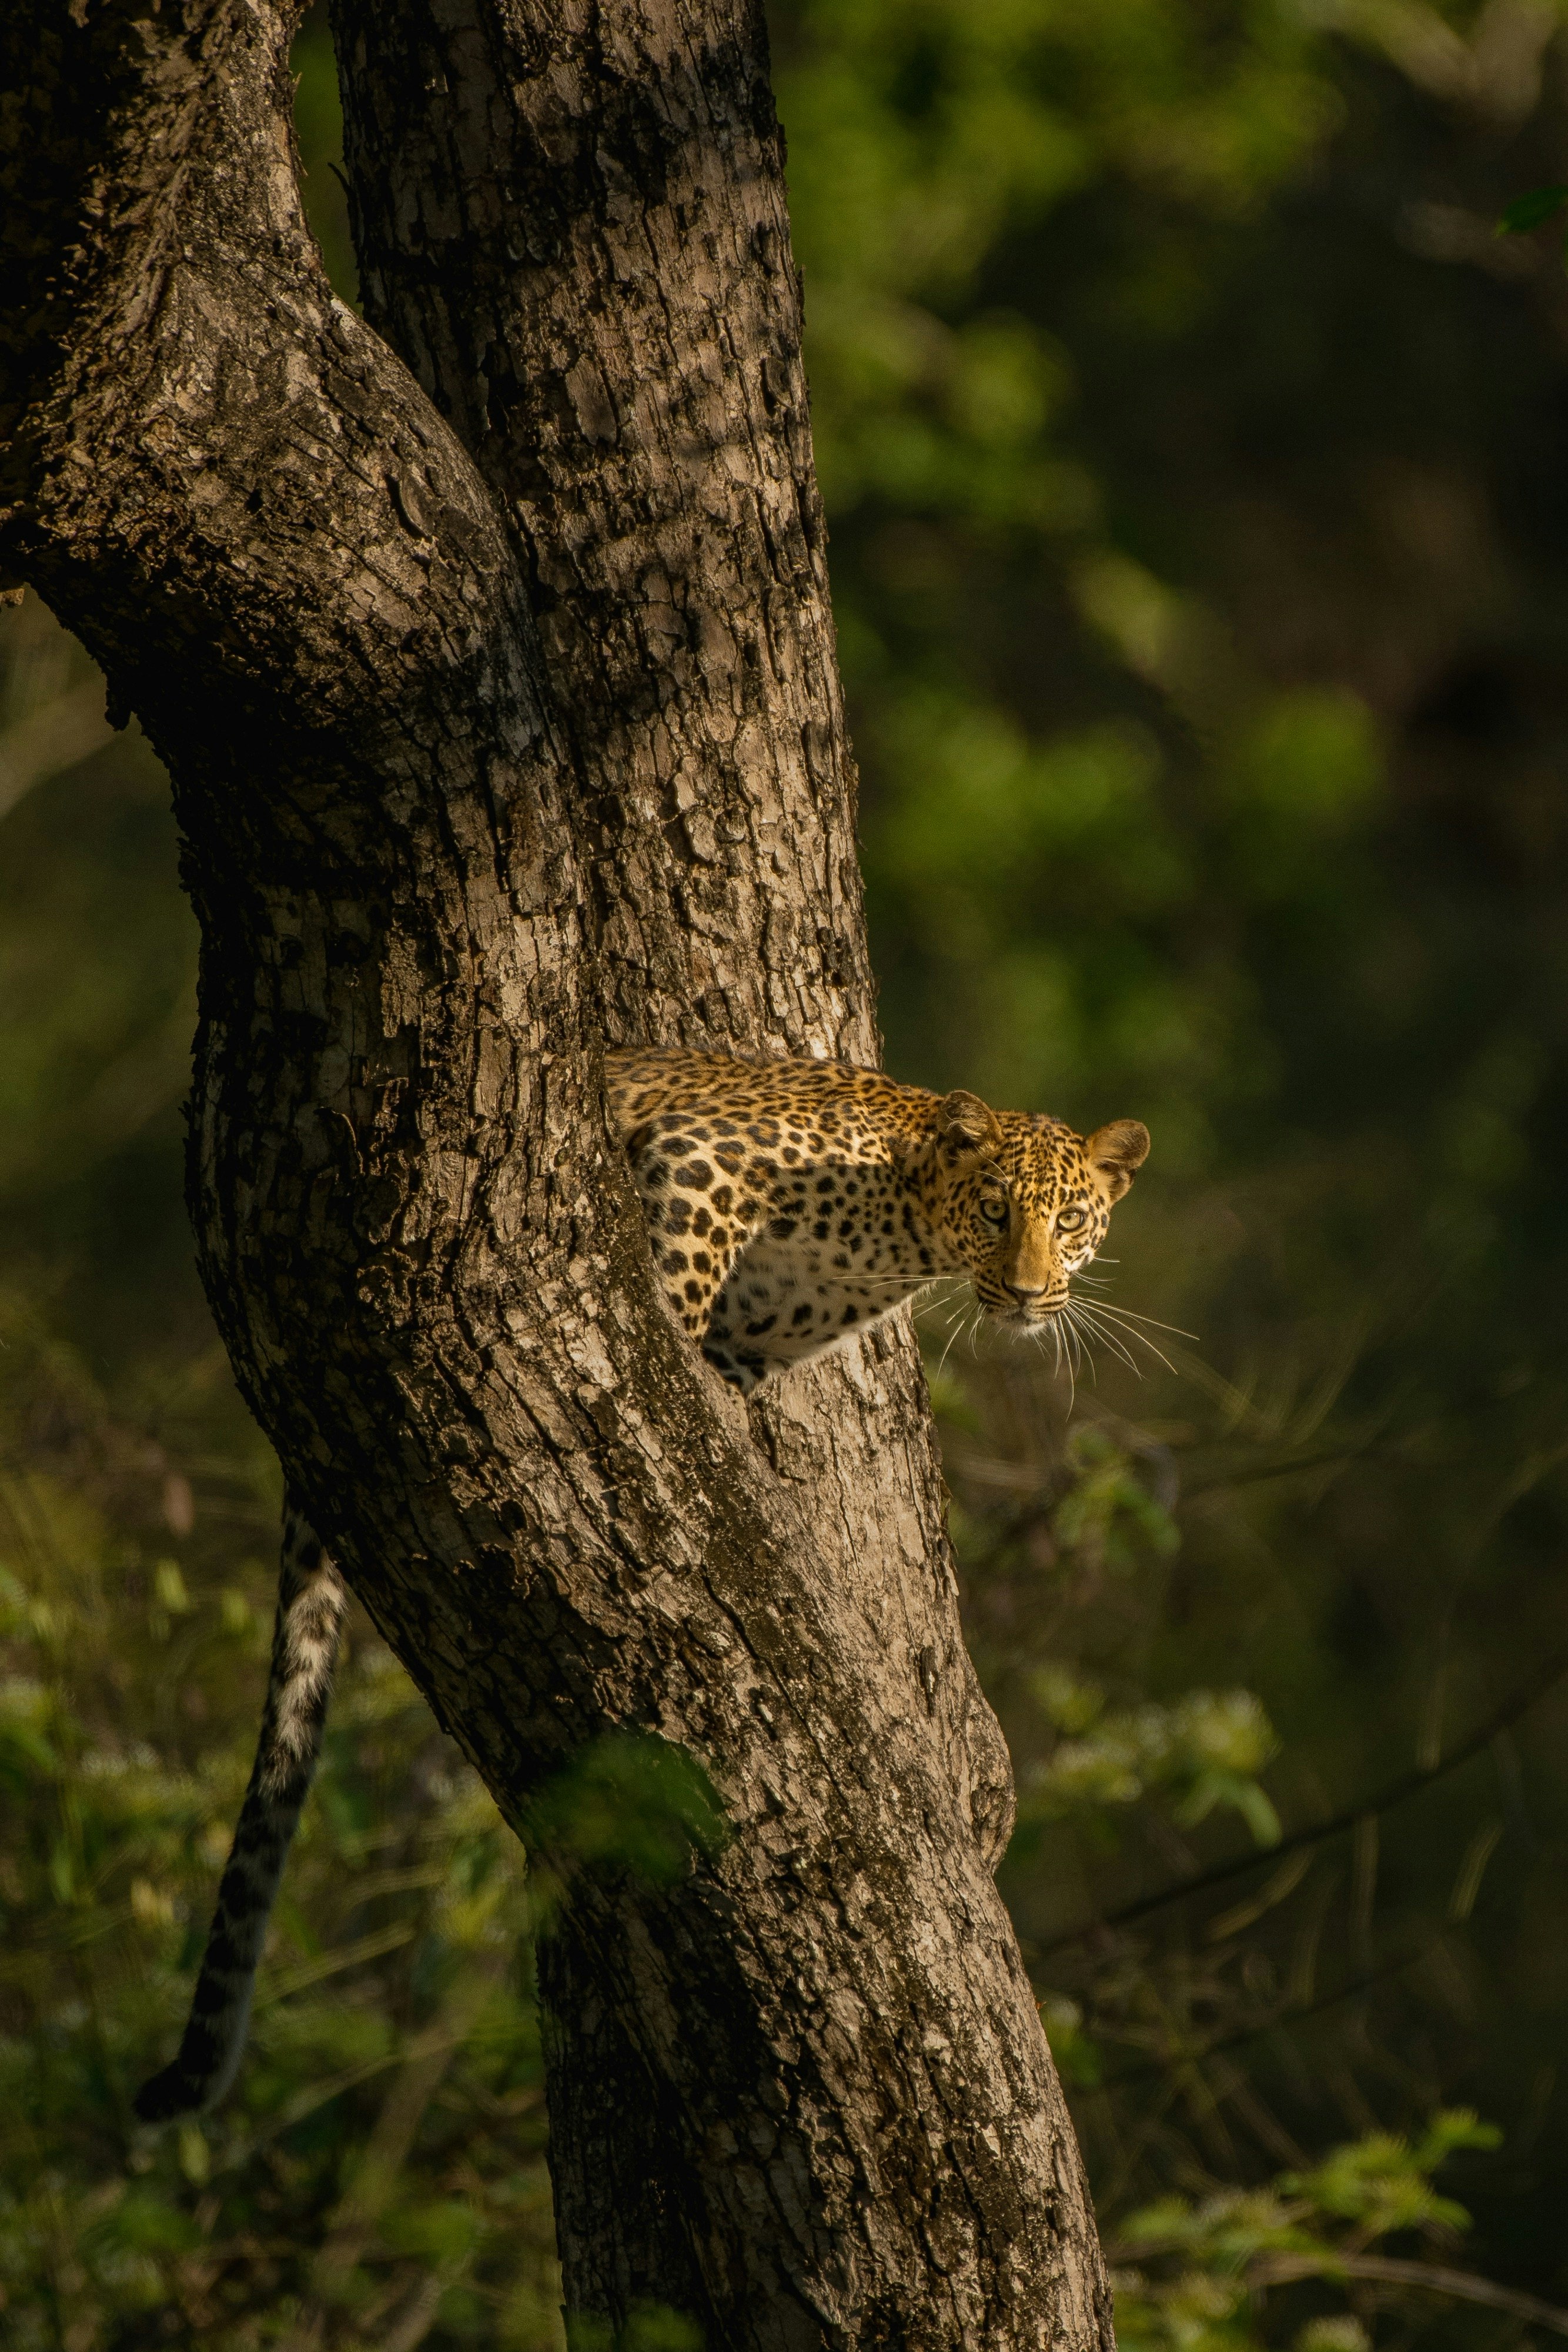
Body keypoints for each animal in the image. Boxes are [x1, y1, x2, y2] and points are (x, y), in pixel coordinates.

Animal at [138, 1049, 1152, 2117]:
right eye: (996, 1210)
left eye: (1068, 1221)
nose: (1029, 1293)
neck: (901, 1228)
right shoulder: (698, 1162)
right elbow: (673, 1286)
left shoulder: (759, 1335)